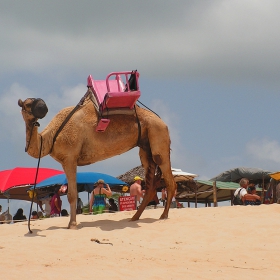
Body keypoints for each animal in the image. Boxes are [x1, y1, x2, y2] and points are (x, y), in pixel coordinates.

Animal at [18, 91, 177, 229]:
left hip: (158, 133)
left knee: (169, 179)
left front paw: (72, 225)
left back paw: (163, 215)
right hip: (145, 147)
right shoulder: (68, 160)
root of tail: (163, 122)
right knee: (150, 183)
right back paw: (134, 218)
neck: (51, 137)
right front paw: (71, 224)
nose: (43, 106)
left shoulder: (70, 158)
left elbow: (72, 194)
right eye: (27, 104)